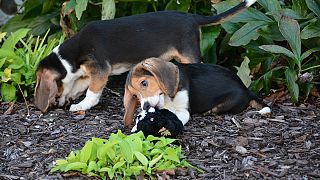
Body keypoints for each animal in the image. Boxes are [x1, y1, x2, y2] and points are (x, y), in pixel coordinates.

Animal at [33, 0, 256, 112]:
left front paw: (82, 105)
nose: (56, 104)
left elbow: (92, 92)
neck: (70, 57)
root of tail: (192, 17)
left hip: (188, 54)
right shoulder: (91, 71)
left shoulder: (100, 70)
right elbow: (80, 83)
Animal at [122, 57, 270, 126]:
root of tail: (246, 89)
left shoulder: (183, 111)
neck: (167, 99)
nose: (145, 106)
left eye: (144, 83)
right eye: (135, 96)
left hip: (225, 104)